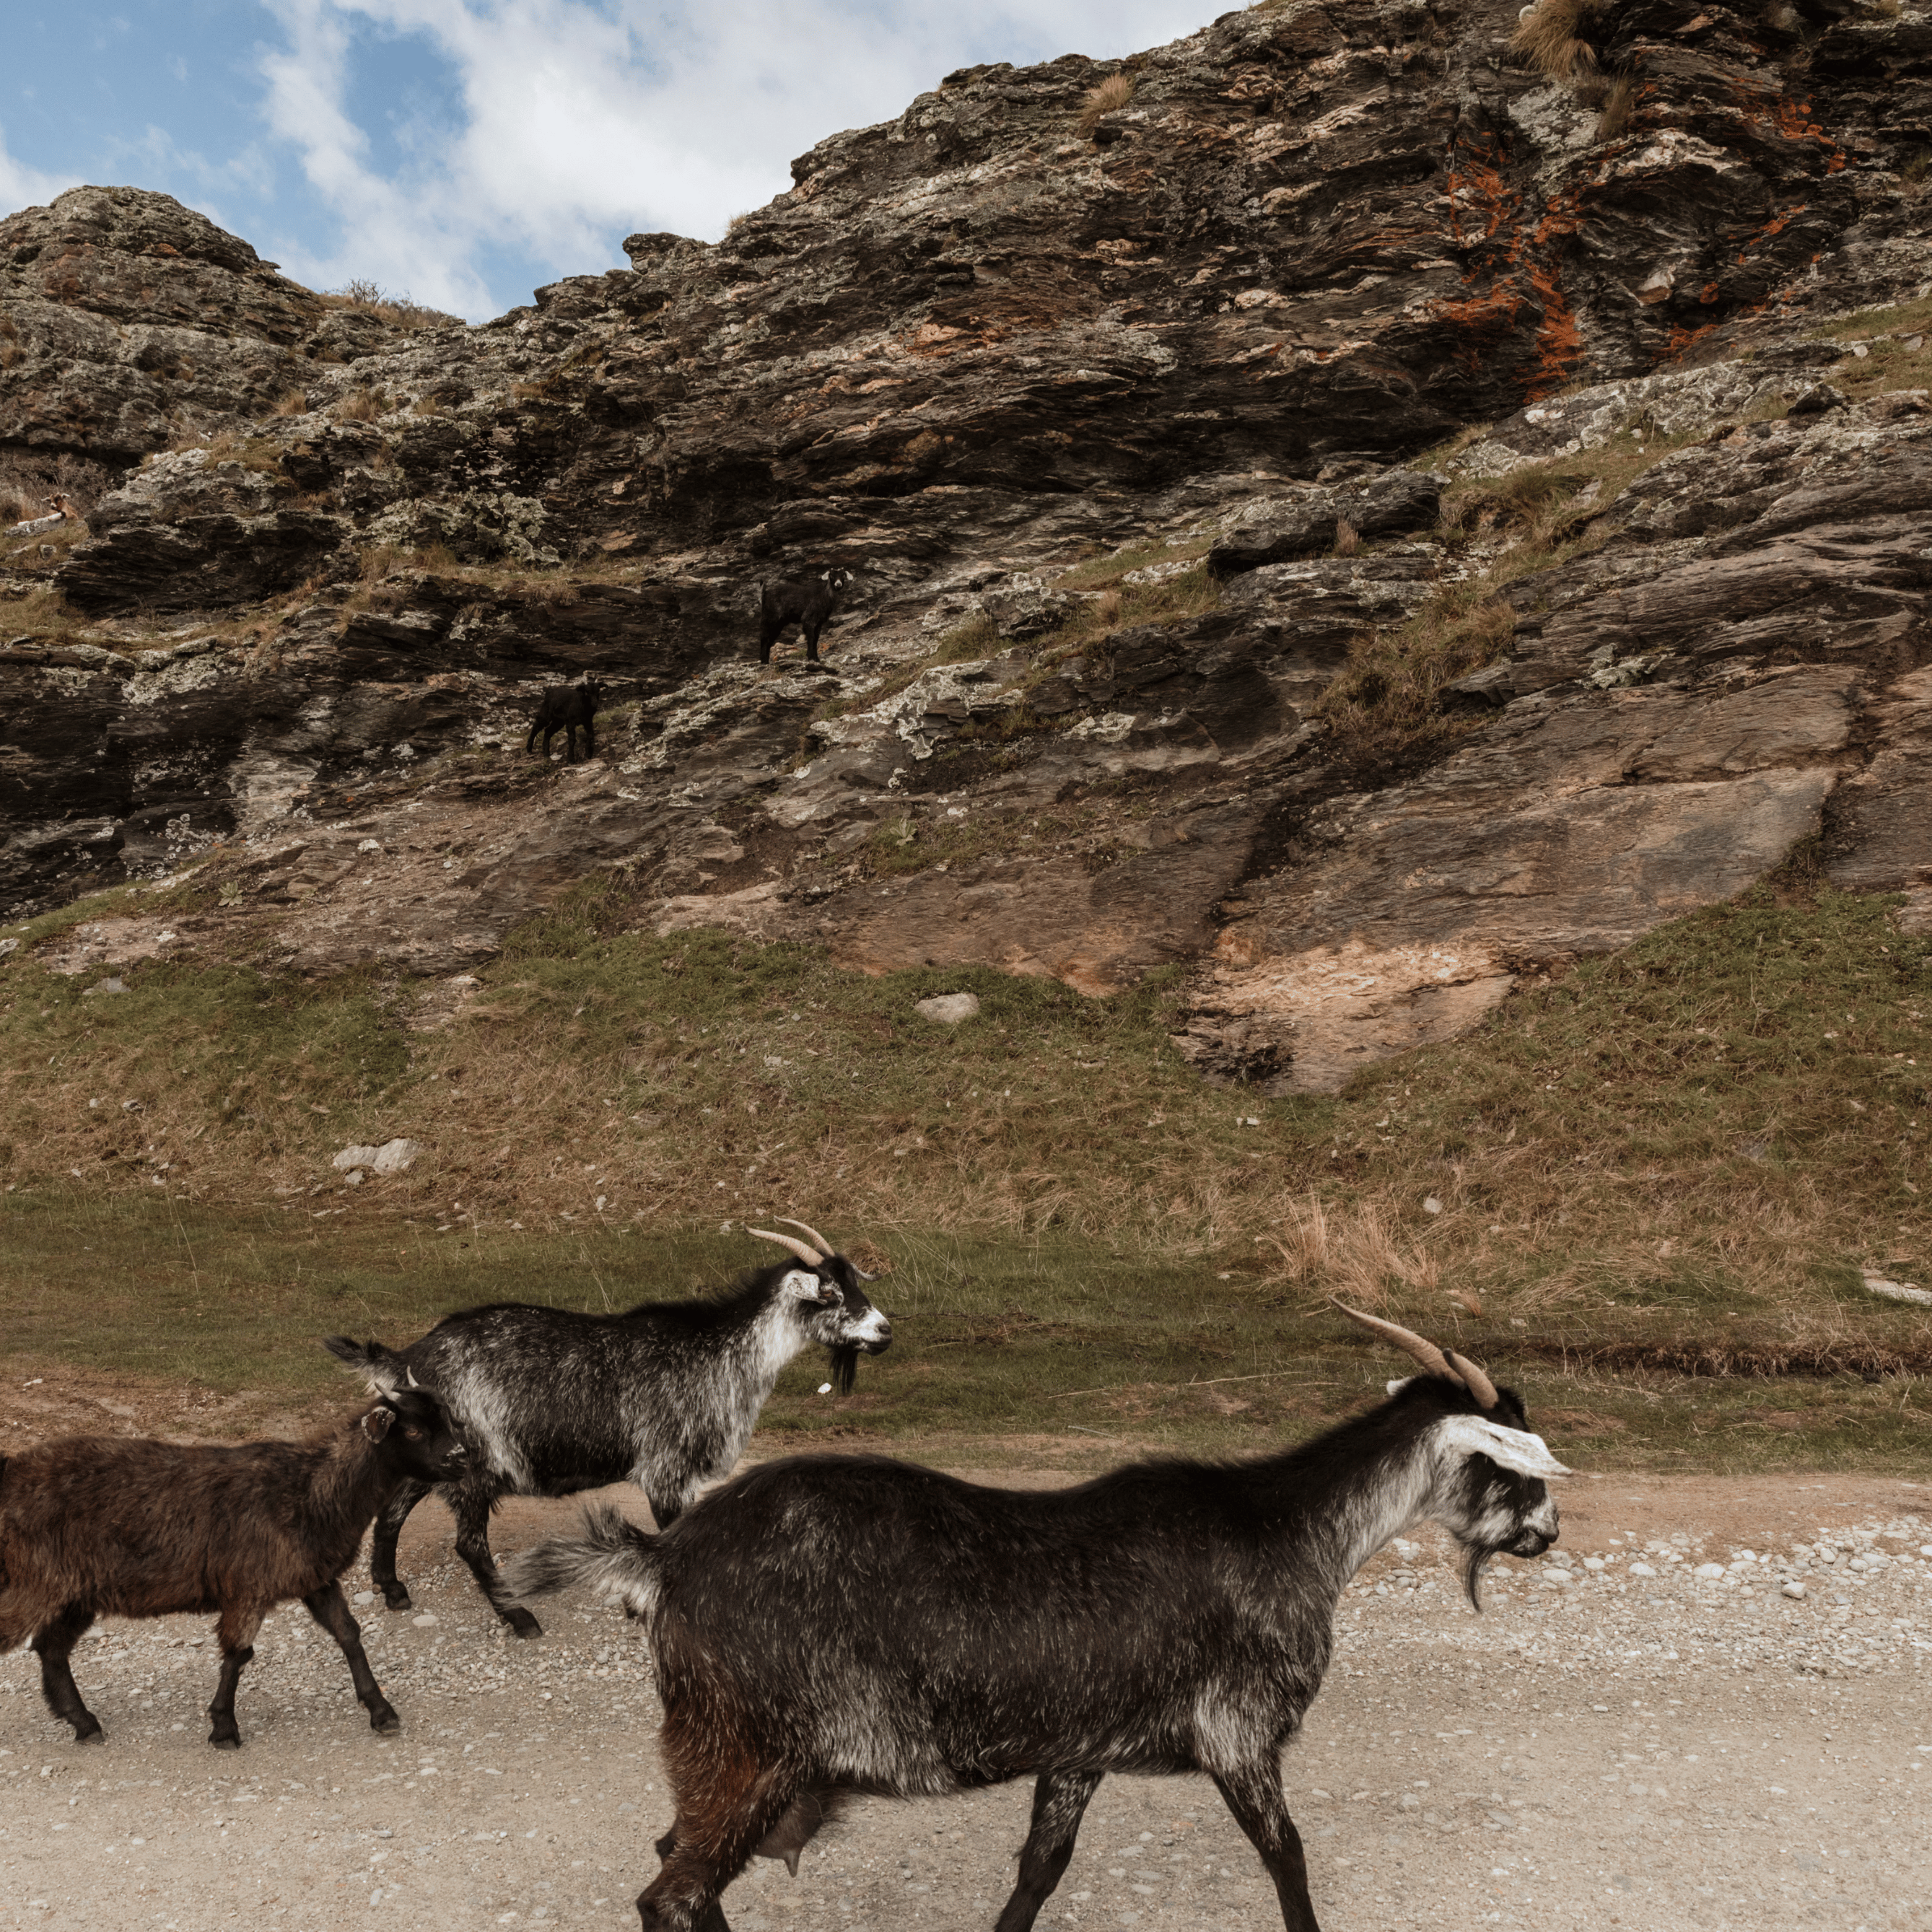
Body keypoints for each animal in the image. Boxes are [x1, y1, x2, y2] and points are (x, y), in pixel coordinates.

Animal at [0, 1363, 466, 1750]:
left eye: (446, 1419)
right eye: (412, 1431)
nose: (462, 1459)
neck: (310, 1490)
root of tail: (11, 1473)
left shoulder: (314, 1578)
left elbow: (349, 1634)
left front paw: (381, 1712)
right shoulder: (249, 1588)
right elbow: (239, 1654)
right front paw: (224, 1727)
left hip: (74, 1592)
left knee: (51, 1648)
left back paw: (83, 1723)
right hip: (34, 1581)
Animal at [328, 1218, 891, 1640]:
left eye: (855, 1284)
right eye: (829, 1291)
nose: (884, 1331)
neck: (719, 1353)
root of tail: (409, 1357)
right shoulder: (666, 1467)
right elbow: (673, 1538)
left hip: (437, 1454)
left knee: (393, 1507)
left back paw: (393, 1591)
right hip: (478, 1459)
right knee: (467, 1542)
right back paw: (519, 1617)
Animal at [502, 1306, 1569, 1932]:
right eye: (1513, 1459)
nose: (1548, 1533)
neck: (1290, 1529)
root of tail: (665, 1558)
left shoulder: (1079, 1749)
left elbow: (1038, 1871)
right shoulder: (1237, 1731)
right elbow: (1288, 1859)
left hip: (726, 1750)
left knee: (672, 1863)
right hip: (751, 1746)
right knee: (673, 1891)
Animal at [757, 567, 854, 664]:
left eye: (843, 575)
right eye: (832, 575)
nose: (838, 584)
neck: (824, 595)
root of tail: (765, 594)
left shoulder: (819, 623)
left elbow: (816, 639)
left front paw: (817, 659)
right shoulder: (808, 618)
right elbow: (811, 637)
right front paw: (811, 657)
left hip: (779, 623)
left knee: (770, 639)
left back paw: (766, 661)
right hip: (770, 616)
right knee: (764, 636)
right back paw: (763, 661)